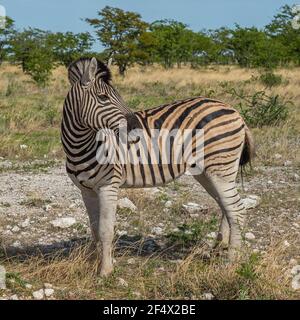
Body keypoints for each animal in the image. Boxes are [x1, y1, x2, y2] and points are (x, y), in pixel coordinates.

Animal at [61, 56, 255, 276]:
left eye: (117, 95)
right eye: (103, 97)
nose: (136, 128)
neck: (81, 145)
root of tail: (234, 110)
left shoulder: (108, 186)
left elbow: (105, 230)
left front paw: (105, 270)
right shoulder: (86, 190)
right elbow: (94, 229)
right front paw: (93, 262)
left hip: (220, 168)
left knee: (237, 210)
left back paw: (231, 262)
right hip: (206, 172)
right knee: (226, 207)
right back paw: (217, 249)